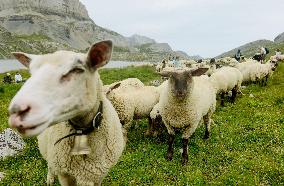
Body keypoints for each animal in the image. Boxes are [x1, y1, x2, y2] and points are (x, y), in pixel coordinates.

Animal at [8, 41, 125, 186]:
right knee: (50, 164)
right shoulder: (64, 174)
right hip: (49, 151)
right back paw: (50, 178)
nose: (16, 111)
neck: (82, 130)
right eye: (31, 72)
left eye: (76, 70)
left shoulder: (98, 175)